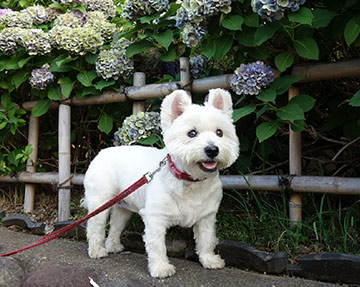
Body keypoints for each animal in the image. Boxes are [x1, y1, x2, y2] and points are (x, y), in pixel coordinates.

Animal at [81, 89, 239, 280]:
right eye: (192, 133)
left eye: (219, 133)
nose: (212, 150)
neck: (190, 181)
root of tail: (102, 152)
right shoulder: (156, 217)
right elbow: (157, 245)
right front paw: (161, 268)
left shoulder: (206, 217)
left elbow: (207, 240)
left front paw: (209, 260)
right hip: (101, 202)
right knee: (95, 227)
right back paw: (97, 250)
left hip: (123, 208)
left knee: (115, 226)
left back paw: (113, 246)